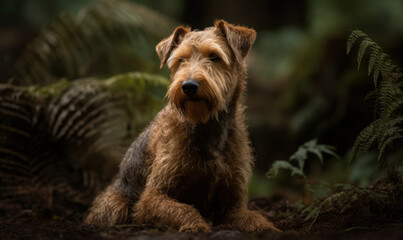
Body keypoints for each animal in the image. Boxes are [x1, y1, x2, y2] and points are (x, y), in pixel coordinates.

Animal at [85, 19, 280, 233]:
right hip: (116, 204)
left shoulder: (233, 205)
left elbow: (255, 219)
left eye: (214, 56)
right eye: (180, 59)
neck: (207, 126)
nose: (189, 86)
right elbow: (183, 209)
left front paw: (270, 228)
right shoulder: (153, 196)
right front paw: (197, 226)